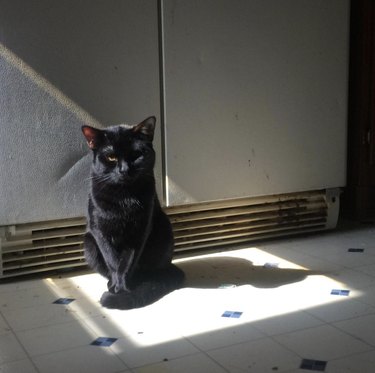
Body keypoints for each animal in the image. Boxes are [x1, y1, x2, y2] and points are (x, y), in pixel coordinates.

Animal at [82, 116, 185, 308]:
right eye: (111, 157)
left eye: (136, 155)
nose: (124, 170)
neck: (124, 197)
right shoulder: (99, 230)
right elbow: (112, 261)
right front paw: (116, 286)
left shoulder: (139, 230)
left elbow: (127, 262)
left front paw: (123, 288)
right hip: (88, 243)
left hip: (164, 229)